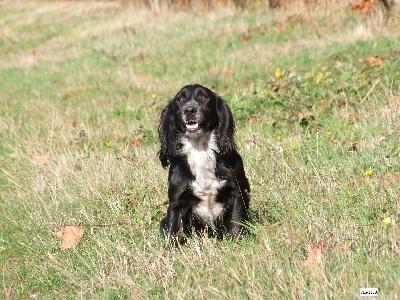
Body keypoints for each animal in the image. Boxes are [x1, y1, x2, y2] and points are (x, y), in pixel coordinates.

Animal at [159, 84, 250, 246]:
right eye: (180, 99)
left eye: (203, 97)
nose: (189, 110)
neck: (200, 149)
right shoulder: (176, 202)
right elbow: (174, 232)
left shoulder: (238, 193)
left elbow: (237, 225)